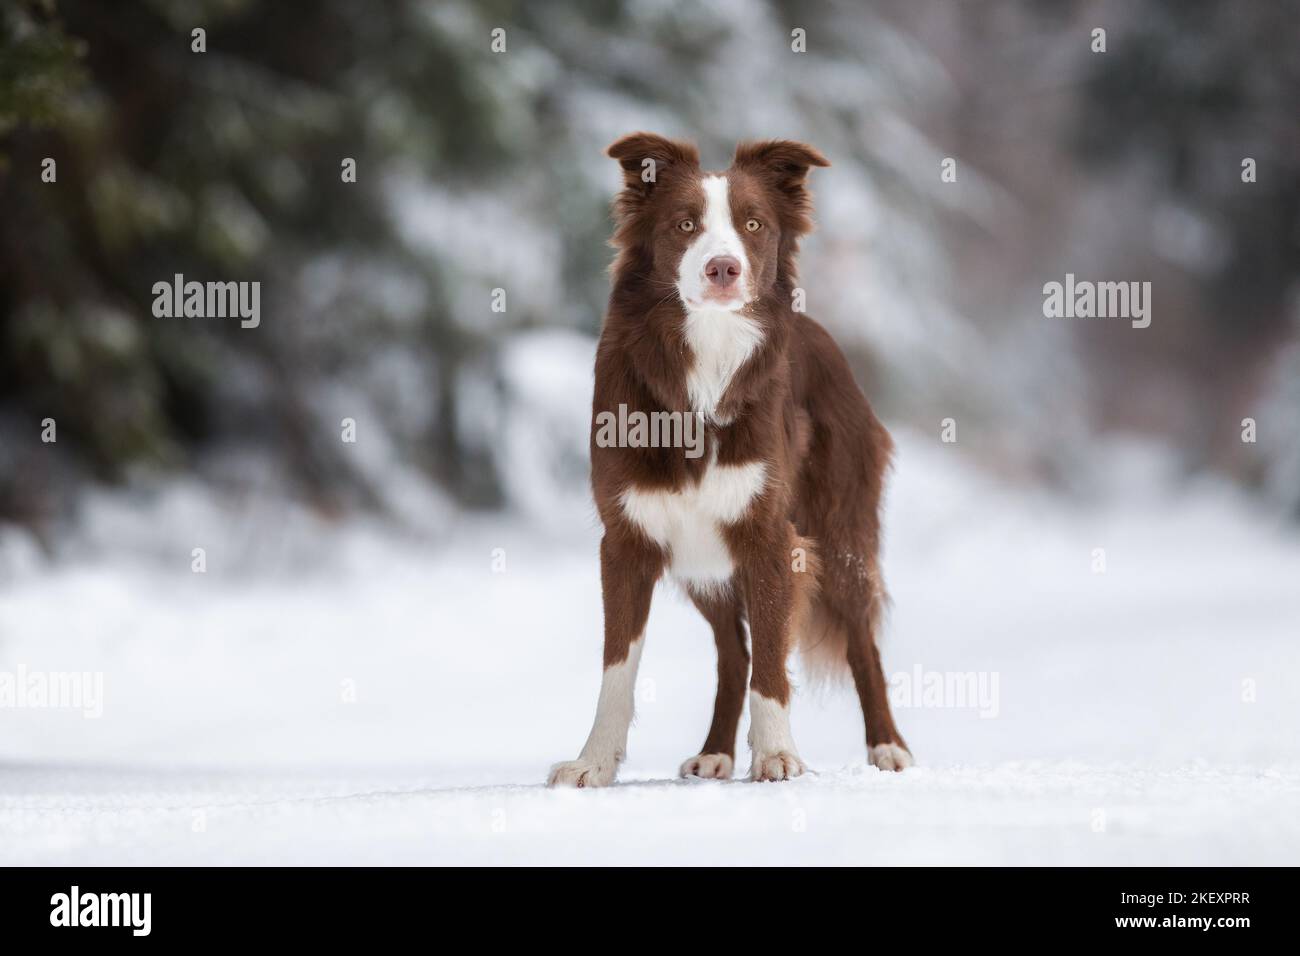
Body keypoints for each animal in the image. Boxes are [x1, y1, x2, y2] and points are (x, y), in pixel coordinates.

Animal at [551, 136, 915, 790]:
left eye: (753, 225)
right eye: (685, 224)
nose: (724, 268)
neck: (707, 357)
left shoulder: (770, 535)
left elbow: (772, 658)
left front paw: (776, 756)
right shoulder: (628, 539)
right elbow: (619, 665)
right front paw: (593, 762)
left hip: (840, 530)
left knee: (860, 642)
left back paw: (888, 748)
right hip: (702, 556)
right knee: (733, 651)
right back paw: (715, 753)